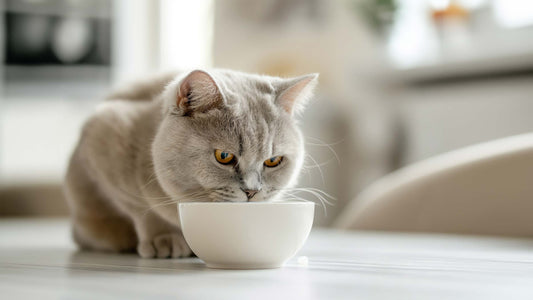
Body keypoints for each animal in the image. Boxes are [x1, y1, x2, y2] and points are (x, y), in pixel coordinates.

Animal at [64, 68, 318, 258]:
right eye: (224, 156)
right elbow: (142, 207)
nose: (252, 191)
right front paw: (163, 237)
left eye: (273, 161)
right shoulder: (103, 131)